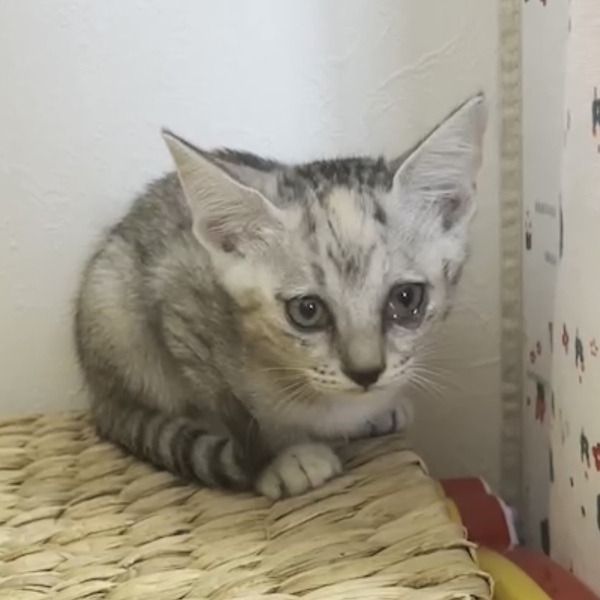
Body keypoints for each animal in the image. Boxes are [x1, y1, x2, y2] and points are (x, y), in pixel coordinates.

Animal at [74, 94, 487, 499]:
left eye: (406, 298)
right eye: (307, 311)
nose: (365, 372)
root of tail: (97, 395)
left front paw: (377, 411)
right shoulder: (178, 301)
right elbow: (229, 410)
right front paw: (281, 457)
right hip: (113, 307)